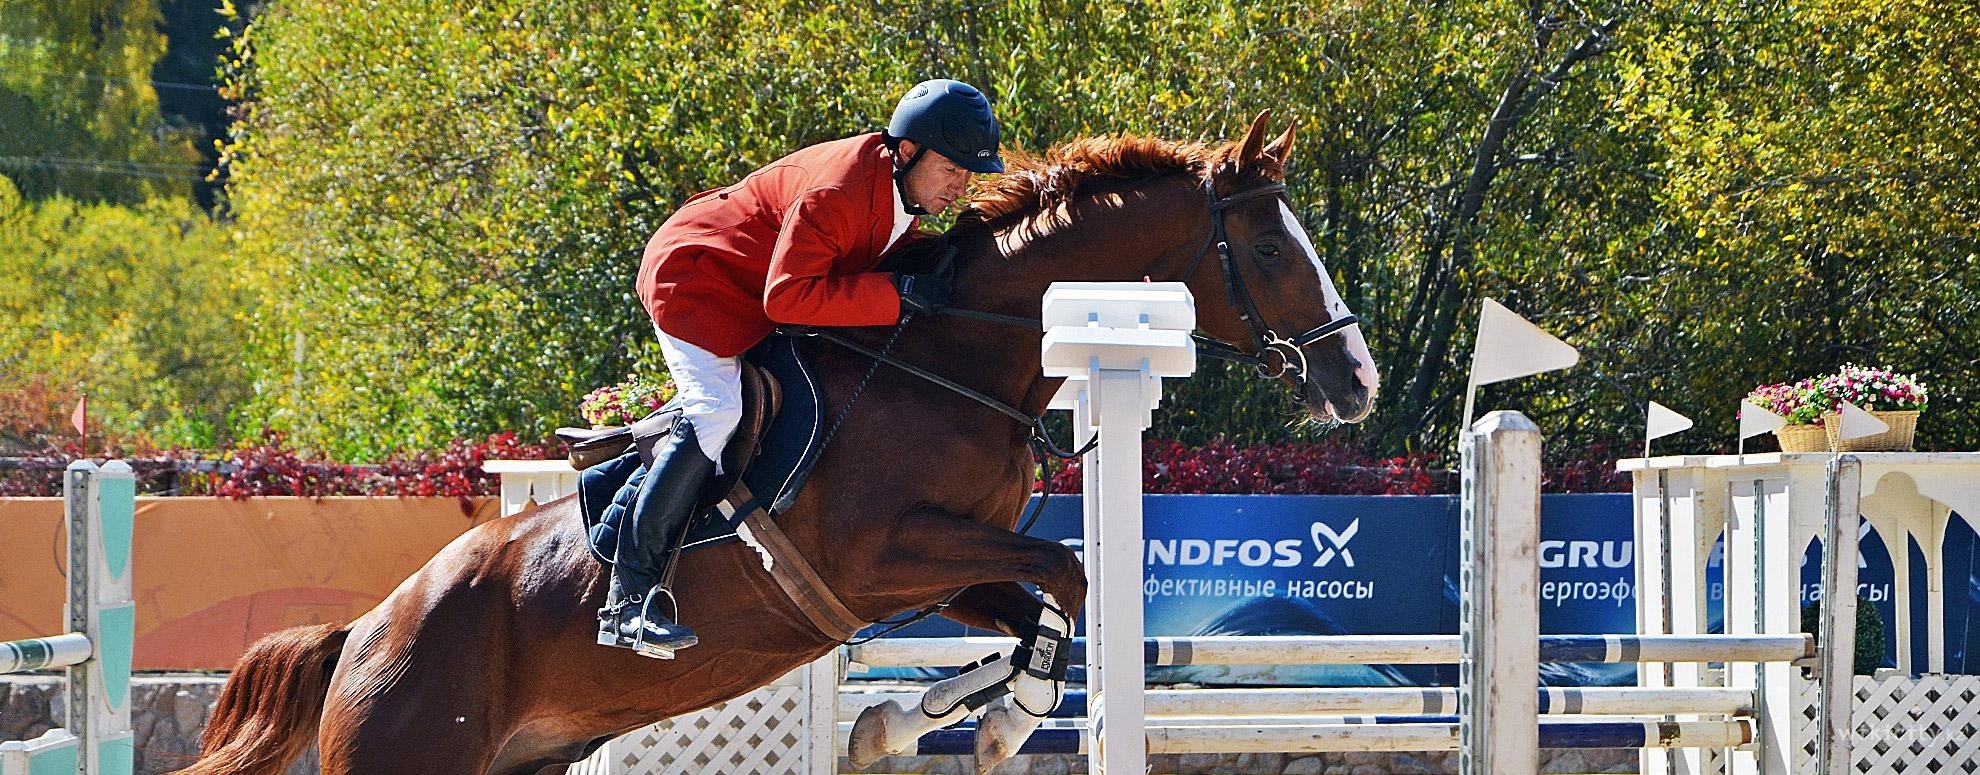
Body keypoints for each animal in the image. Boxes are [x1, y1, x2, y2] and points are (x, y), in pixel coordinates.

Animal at [178, 113, 1378, 775]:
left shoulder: (947, 565)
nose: (1356, 382)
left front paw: (921, 721)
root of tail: (362, 635)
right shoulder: (880, 555)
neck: (955, 358)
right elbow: (1068, 576)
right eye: (1274, 248)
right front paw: (974, 720)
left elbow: (1047, 607)